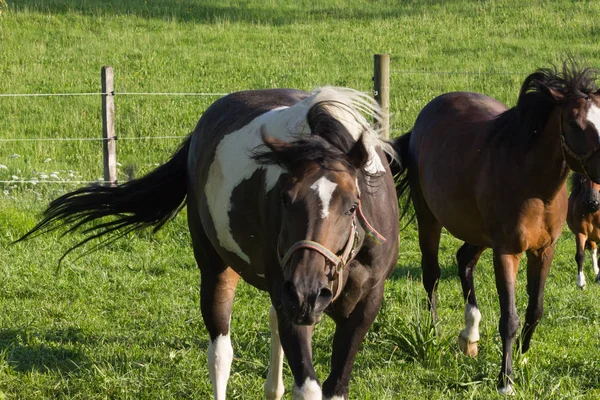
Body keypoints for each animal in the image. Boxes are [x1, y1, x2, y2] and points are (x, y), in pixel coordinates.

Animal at [21, 87, 400, 400]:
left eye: (352, 206)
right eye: (284, 198)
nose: (307, 290)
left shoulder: (364, 305)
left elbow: (335, 385)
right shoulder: (291, 302)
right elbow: (307, 387)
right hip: (218, 268)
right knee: (221, 353)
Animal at [392, 64, 600, 396]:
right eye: (575, 123)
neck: (533, 185)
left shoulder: (544, 250)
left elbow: (535, 309)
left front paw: (523, 357)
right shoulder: (506, 252)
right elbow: (509, 318)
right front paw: (506, 380)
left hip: (478, 233)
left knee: (464, 261)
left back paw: (470, 335)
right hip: (430, 219)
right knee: (431, 275)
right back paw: (435, 333)